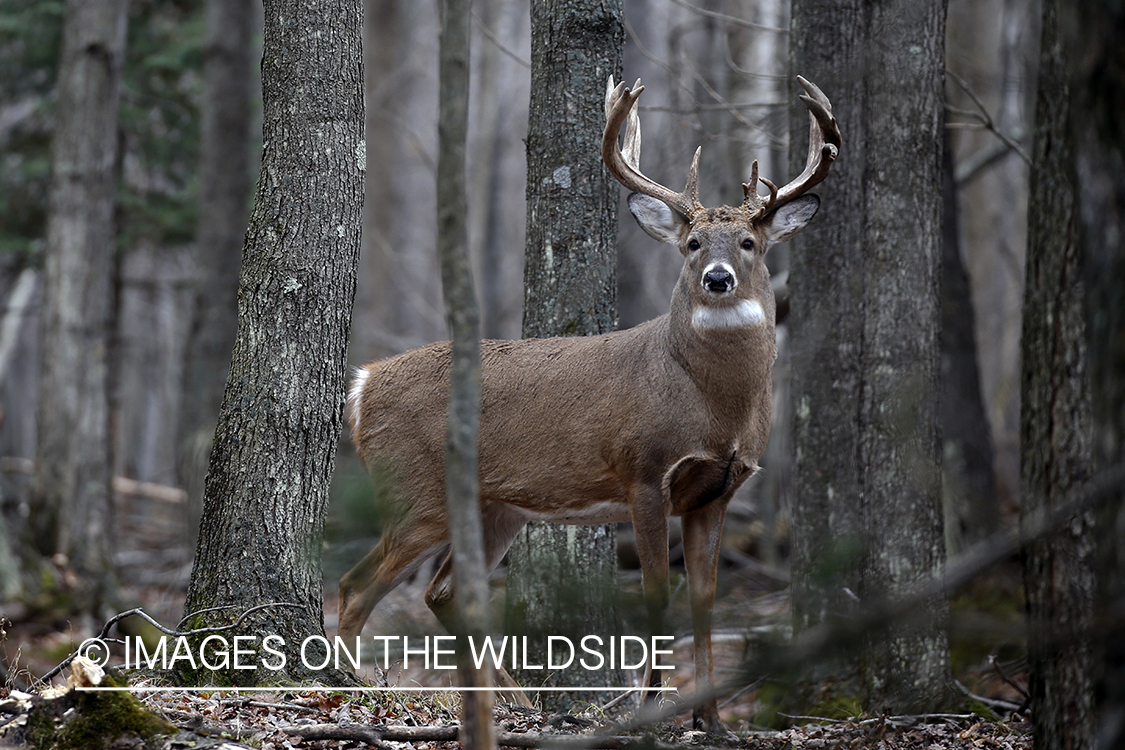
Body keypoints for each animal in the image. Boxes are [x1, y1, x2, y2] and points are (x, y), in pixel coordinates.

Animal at [337, 76, 841, 733]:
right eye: (692, 243)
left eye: (750, 242)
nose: (719, 278)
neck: (716, 407)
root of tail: (363, 385)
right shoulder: (644, 472)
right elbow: (656, 594)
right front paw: (651, 708)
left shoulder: (718, 491)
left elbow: (703, 601)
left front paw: (710, 720)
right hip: (414, 489)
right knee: (355, 585)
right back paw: (354, 688)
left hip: (497, 508)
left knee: (438, 594)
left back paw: (519, 704)